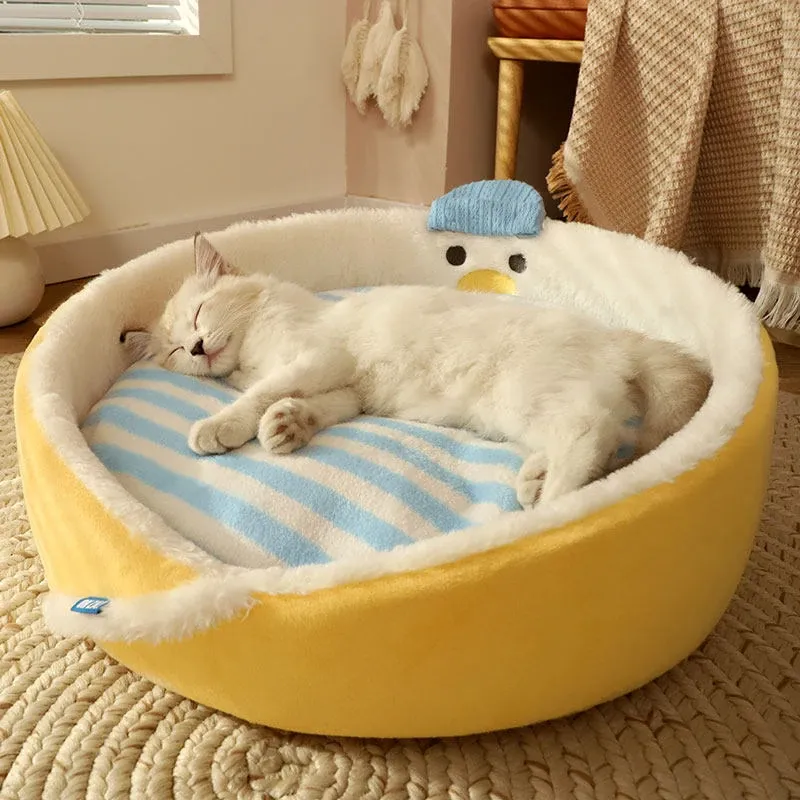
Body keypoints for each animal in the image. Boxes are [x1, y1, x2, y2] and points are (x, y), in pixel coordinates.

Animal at [123, 234, 711, 507]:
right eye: (174, 352)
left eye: (200, 314)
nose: (198, 347)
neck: (250, 351)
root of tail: (615, 337)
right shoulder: (345, 387)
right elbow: (314, 406)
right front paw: (286, 425)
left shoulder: (317, 356)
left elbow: (258, 394)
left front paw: (221, 426)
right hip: (533, 409)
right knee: (601, 437)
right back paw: (537, 480)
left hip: (528, 395)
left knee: (591, 436)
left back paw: (555, 505)